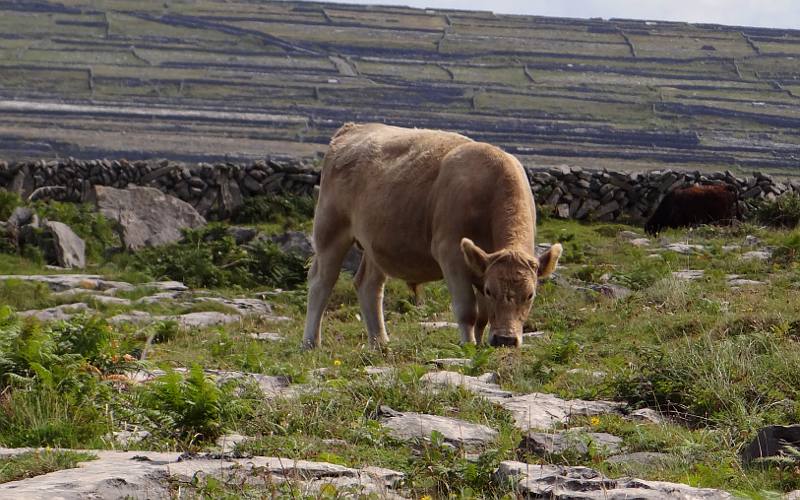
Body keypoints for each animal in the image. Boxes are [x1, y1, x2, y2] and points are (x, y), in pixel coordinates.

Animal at [302, 122, 564, 348]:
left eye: (530, 295)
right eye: (491, 291)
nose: (506, 340)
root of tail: (353, 128)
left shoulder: (480, 263)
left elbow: (484, 316)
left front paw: (480, 345)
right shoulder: (451, 254)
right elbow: (468, 311)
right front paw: (468, 346)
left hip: (376, 243)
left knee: (369, 285)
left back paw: (380, 343)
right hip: (330, 230)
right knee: (321, 282)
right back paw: (311, 343)